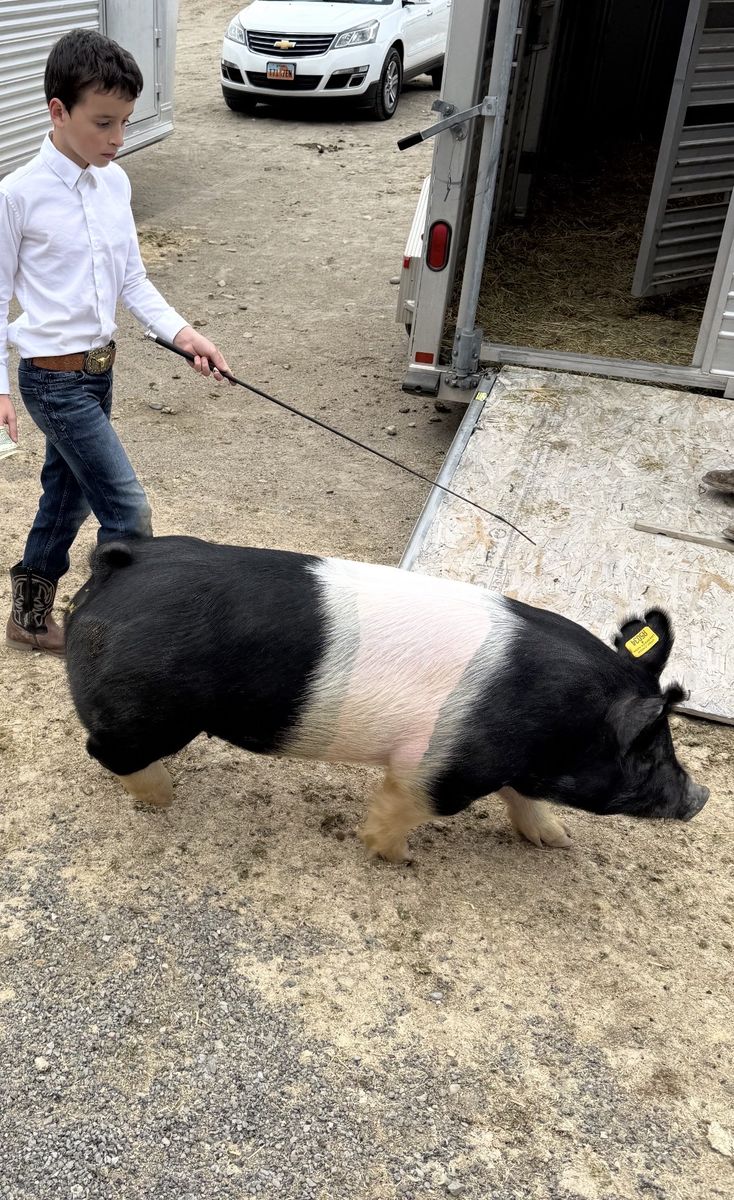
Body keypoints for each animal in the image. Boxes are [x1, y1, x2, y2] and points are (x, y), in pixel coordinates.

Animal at [64, 535, 709, 861]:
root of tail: (120, 564)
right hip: (150, 708)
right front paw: (395, 856)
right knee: (105, 749)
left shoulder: (501, 763)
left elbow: (522, 799)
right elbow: (410, 806)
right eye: (650, 751)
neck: (560, 721)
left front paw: (558, 841)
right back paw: (163, 797)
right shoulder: (441, 768)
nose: (700, 796)